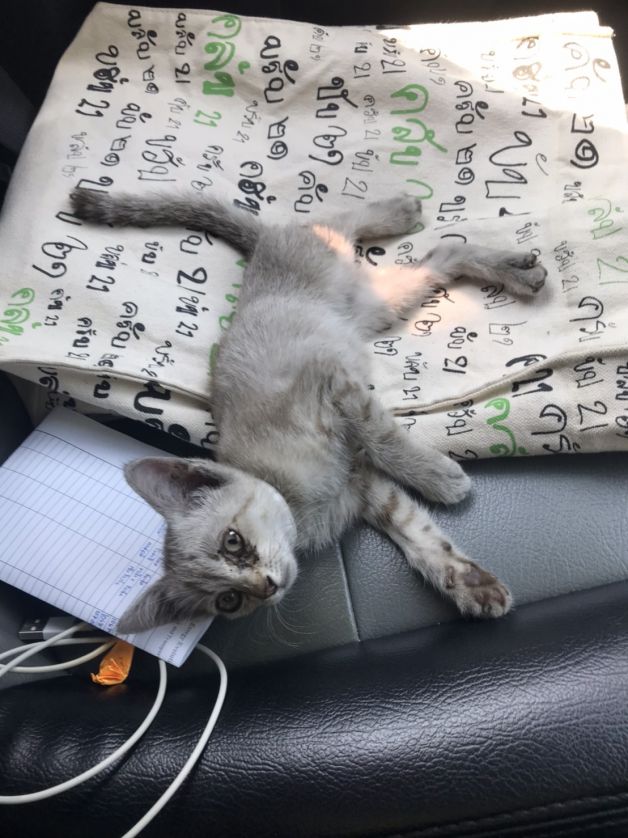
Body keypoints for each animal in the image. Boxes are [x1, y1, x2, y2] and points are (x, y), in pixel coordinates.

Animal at [70, 189, 547, 634]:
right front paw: (471, 586)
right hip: (378, 303)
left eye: (232, 542)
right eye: (229, 600)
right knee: (441, 256)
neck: (306, 506)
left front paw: (437, 477)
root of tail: (263, 243)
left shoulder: (333, 386)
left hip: (339, 266)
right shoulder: (367, 489)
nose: (265, 587)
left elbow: (383, 437)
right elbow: (418, 534)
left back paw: (402, 210)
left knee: (342, 221)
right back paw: (517, 270)